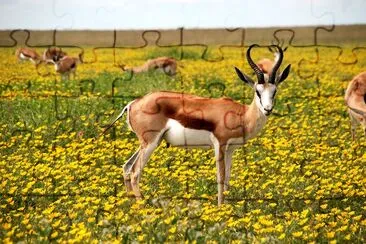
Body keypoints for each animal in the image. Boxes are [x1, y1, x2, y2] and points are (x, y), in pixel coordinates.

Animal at [103, 44, 292, 205]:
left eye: (274, 91)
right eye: (257, 91)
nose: (267, 109)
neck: (242, 115)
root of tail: (133, 103)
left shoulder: (231, 149)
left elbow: (227, 178)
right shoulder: (220, 145)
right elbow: (220, 178)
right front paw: (220, 209)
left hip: (148, 142)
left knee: (127, 167)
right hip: (150, 143)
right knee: (135, 172)